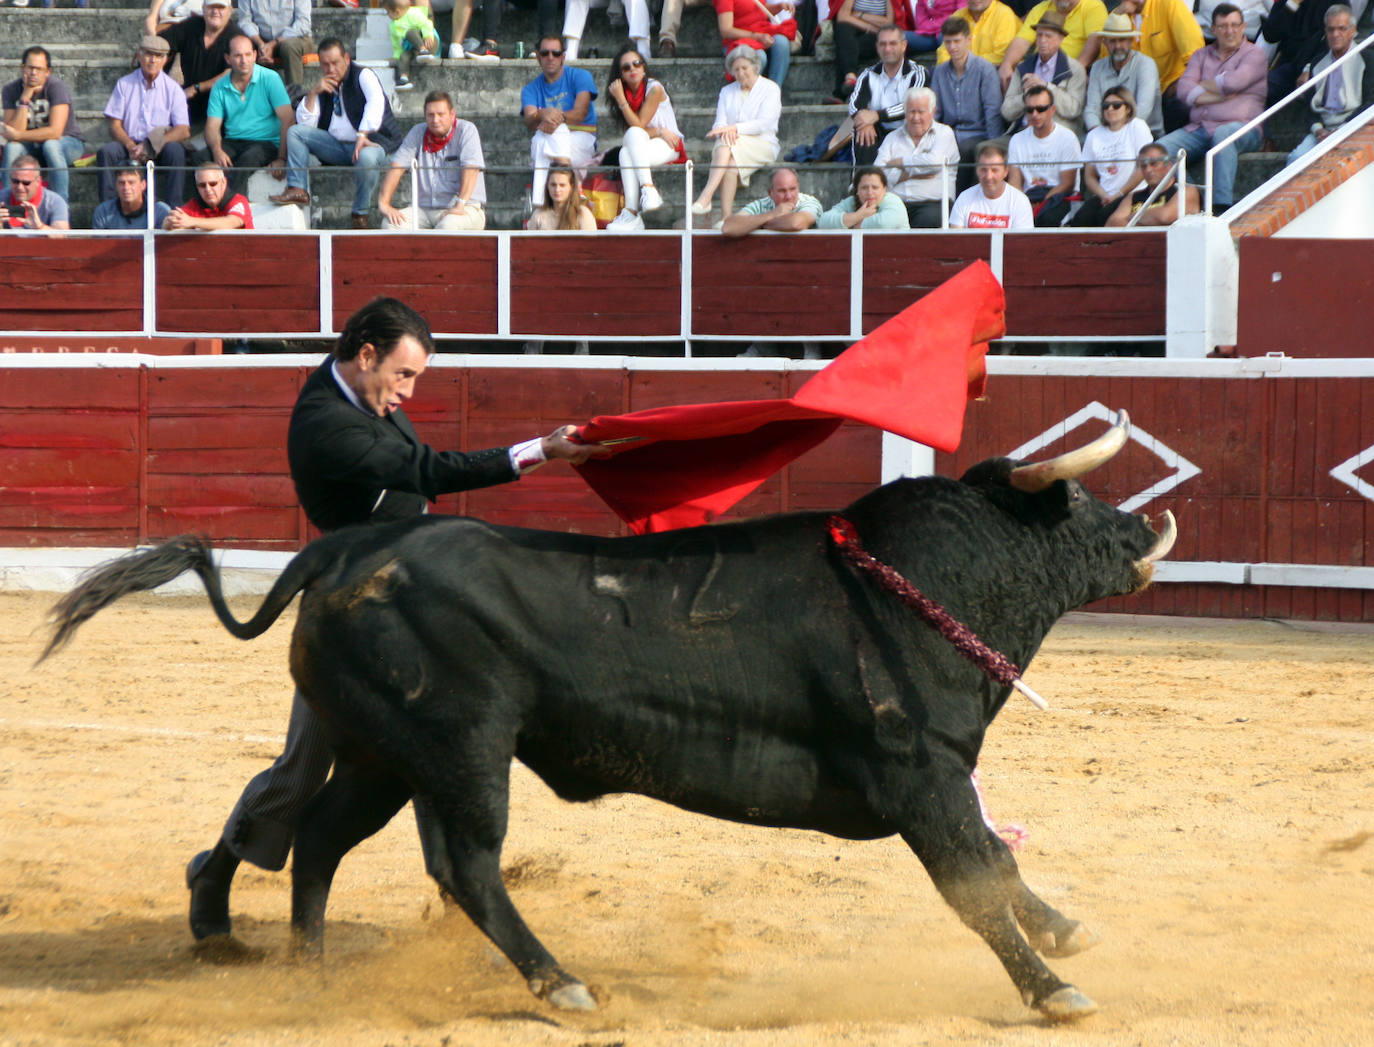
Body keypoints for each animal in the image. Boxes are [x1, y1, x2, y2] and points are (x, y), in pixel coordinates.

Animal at [48, 409, 1176, 1022]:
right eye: (1074, 503)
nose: (1145, 529)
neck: (917, 582)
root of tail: (348, 552)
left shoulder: (939, 777)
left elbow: (1000, 861)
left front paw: (1067, 933)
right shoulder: (920, 776)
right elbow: (976, 883)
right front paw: (1053, 989)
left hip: (379, 753)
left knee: (318, 838)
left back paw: (313, 970)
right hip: (461, 753)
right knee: (464, 866)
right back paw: (563, 986)